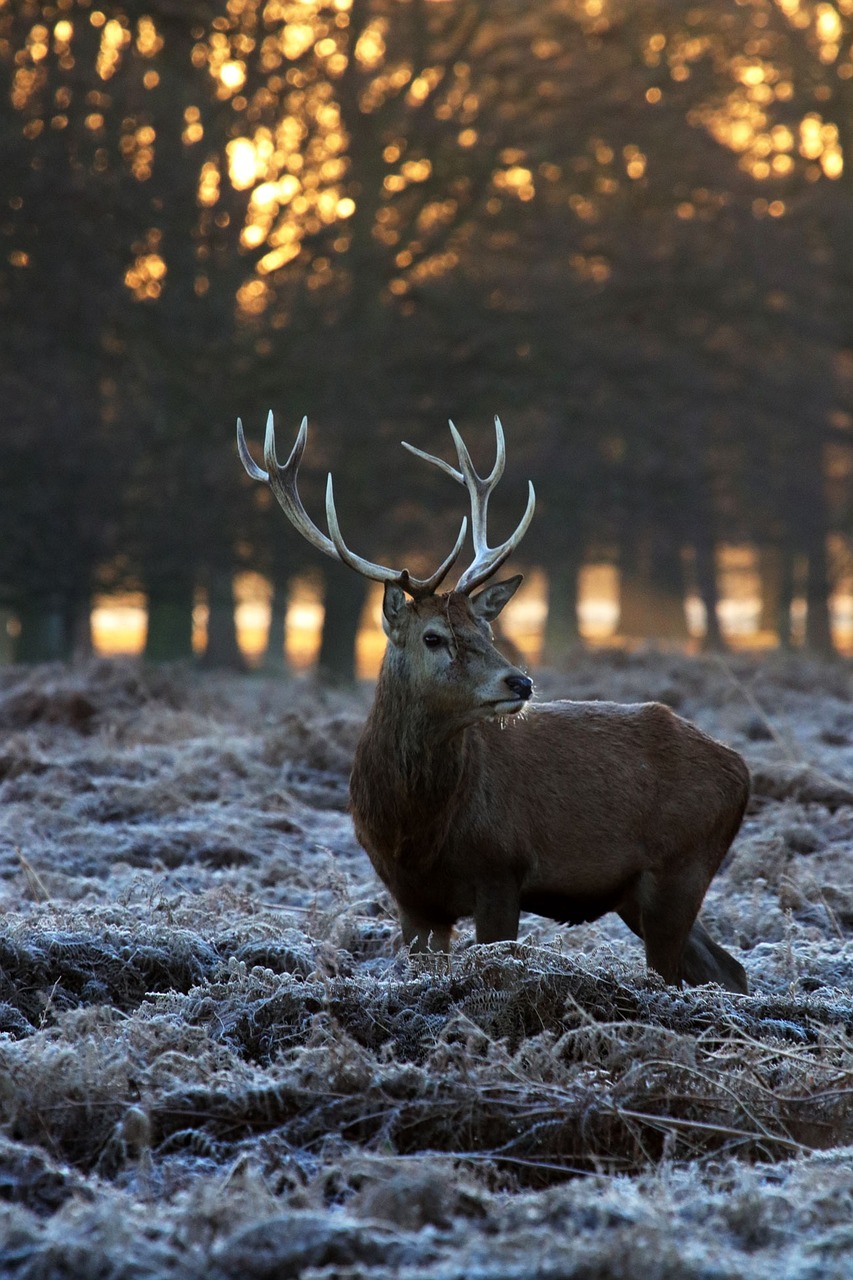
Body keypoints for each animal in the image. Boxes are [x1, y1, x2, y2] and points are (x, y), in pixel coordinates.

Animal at [238, 412, 750, 994]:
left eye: (485, 628)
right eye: (434, 637)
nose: (520, 683)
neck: (416, 830)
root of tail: (741, 769)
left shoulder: (502, 869)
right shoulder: (410, 898)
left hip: (681, 867)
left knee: (682, 971)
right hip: (638, 892)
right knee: (726, 967)